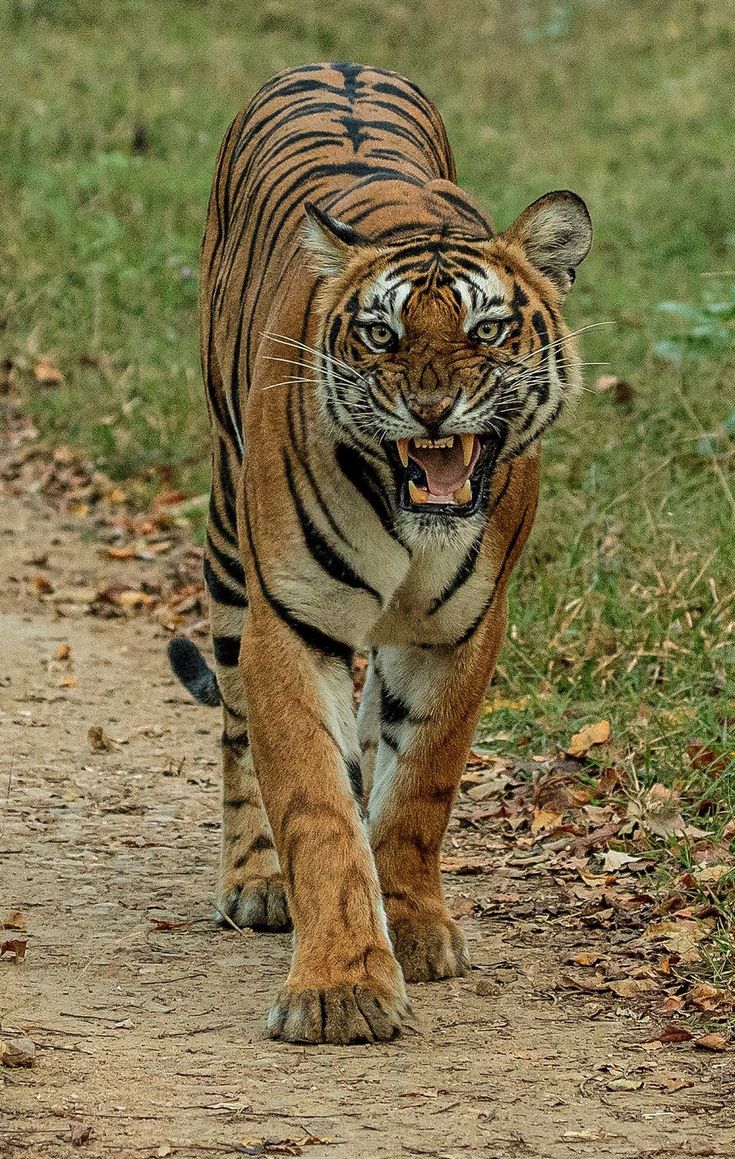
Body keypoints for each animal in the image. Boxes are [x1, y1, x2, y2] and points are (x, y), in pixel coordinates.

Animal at [166, 58, 588, 1047]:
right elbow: (315, 805)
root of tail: (335, 62)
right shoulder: (291, 621)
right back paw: (254, 880)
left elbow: (418, 788)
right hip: (228, 548)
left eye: (485, 329)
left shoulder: (462, 629)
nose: (430, 409)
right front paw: (340, 984)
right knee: (236, 728)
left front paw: (414, 924)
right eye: (381, 333)